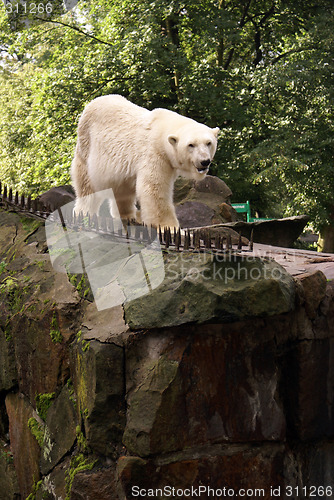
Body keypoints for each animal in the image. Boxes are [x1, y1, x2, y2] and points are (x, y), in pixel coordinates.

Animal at [70, 94, 219, 228]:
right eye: (191, 145)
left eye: (208, 143)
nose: (205, 161)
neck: (162, 130)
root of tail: (91, 103)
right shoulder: (154, 153)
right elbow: (154, 189)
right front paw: (171, 227)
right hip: (86, 147)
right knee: (87, 185)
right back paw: (84, 214)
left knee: (122, 189)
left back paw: (128, 216)